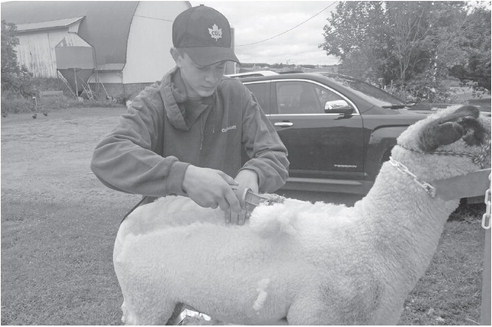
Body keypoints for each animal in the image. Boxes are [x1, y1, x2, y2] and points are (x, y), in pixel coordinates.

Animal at [113, 105, 490, 326]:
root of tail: (133, 220)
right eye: (474, 134)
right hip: (148, 301)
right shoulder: (316, 314)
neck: (373, 236)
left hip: (168, 303)